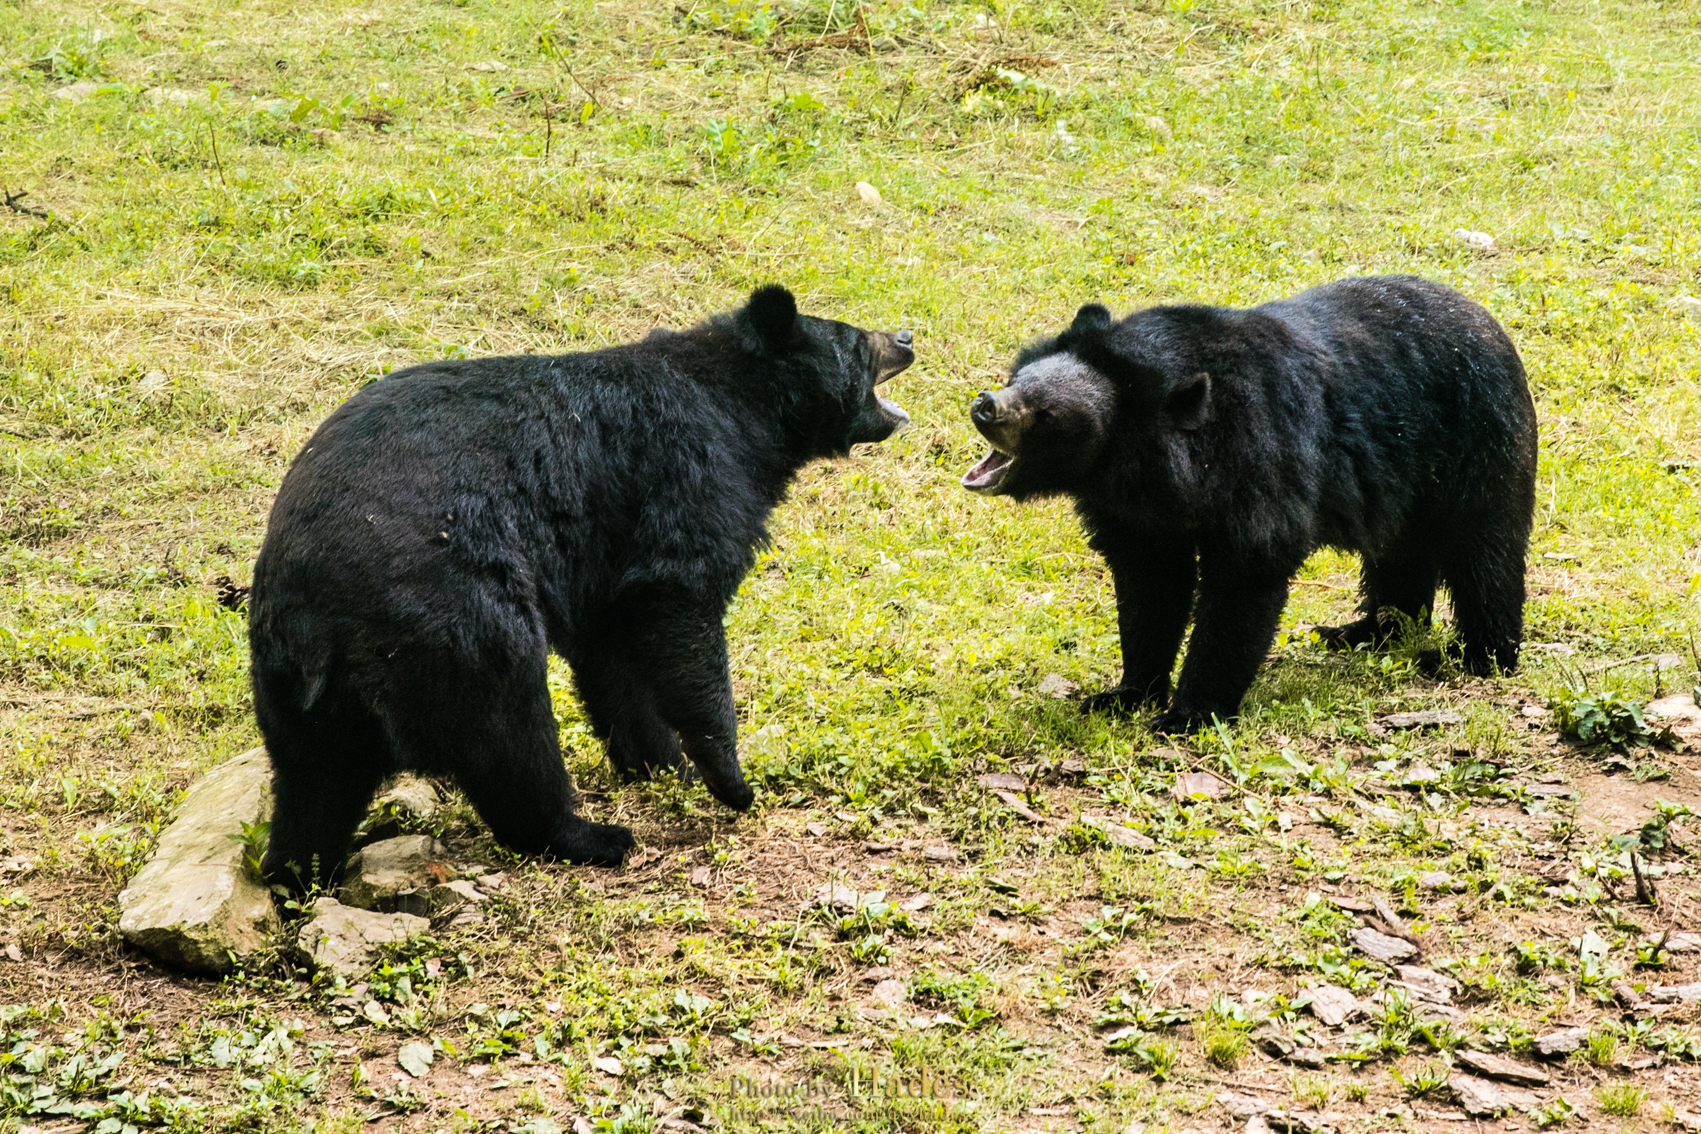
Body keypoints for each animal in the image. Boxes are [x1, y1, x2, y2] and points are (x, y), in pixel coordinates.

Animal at [248, 289, 911, 890]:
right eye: (856, 340)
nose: (906, 336)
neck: (744, 412)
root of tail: (315, 623)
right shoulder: (682, 475)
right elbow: (682, 609)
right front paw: (731, 780)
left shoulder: (601, 555)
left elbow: (613, 657)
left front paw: (663, 765)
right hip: (449, 616)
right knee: (509, 731)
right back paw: (591, 836)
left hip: (295, 688)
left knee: (315, 783)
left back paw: (297, 873)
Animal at [966, 275, 1537, 737]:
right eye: (1018, 379)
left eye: (1047, 413)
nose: (985, 406)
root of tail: (1491, 323)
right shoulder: (1136, 513)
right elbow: (1151, 584)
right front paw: (1123, 695)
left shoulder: (1261, 459)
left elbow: (1246, 578)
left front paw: (1186, 716)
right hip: (1405, 478)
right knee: (1400, 552)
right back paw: (1363, 632)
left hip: (1481, 447)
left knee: (1486, 553)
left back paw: (1479, 655)